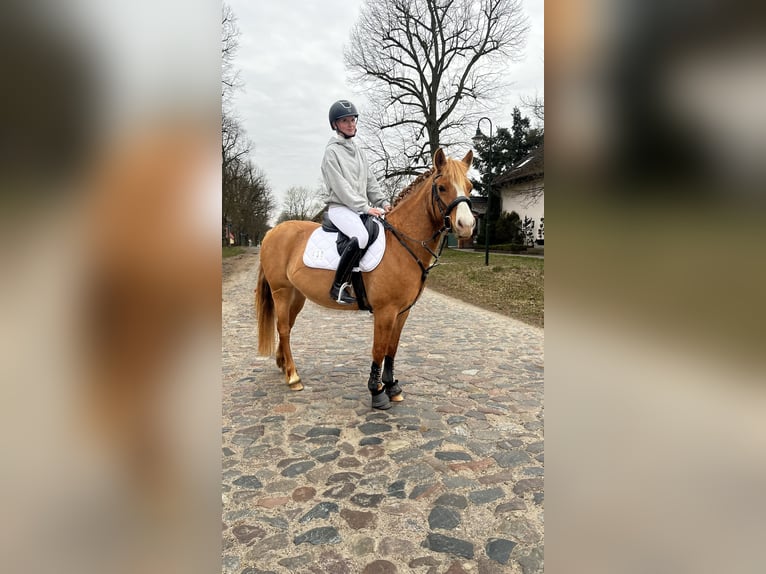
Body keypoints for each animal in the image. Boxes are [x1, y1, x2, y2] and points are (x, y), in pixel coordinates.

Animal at [255, 148, 476, 409]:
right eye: (442, 187)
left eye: (470, 187)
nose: (466, 225)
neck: (402, 243)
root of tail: (272, 232)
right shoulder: (385, 311)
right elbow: (379, 349)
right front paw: (377, 392)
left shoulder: (402, 312)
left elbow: (392, 348)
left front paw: (392, 387)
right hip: (280, 291)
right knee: (283, 328)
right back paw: (292, 376)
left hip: (297, 295)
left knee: (287, 326)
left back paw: (283, 365)